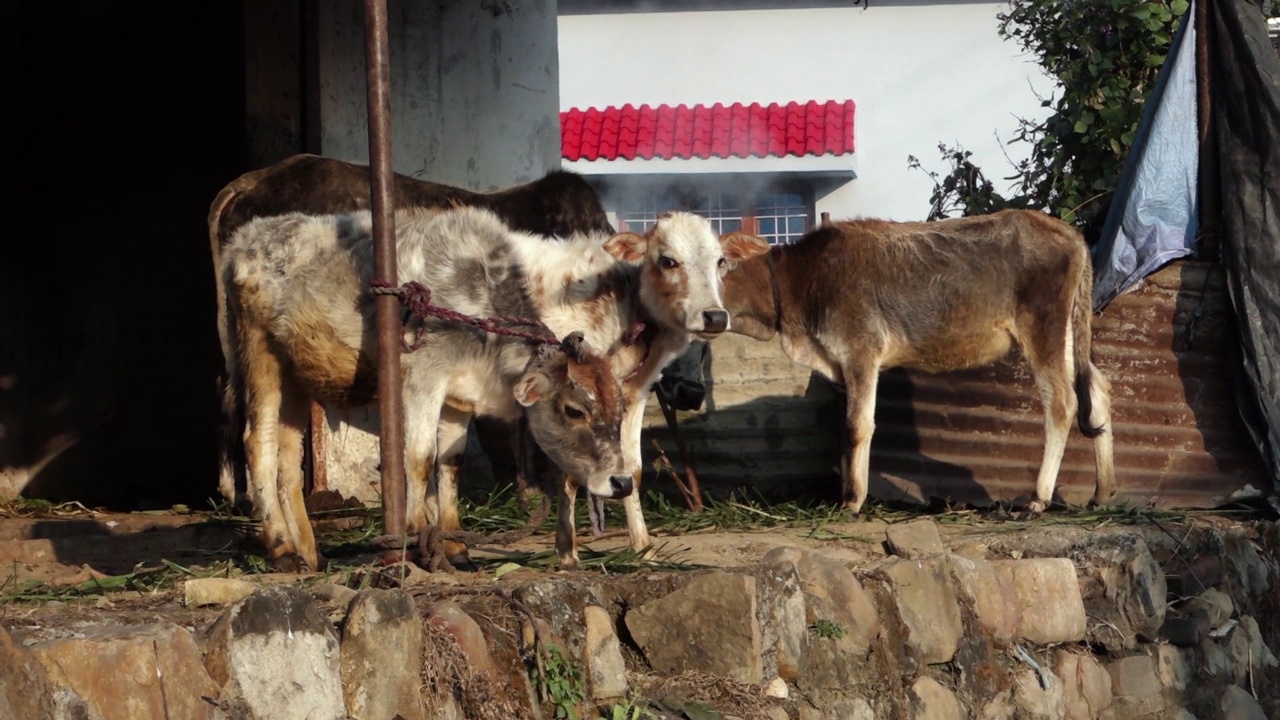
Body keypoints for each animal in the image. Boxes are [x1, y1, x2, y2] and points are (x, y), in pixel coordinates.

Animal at [727, 208, 1116, 515]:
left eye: (720, 263)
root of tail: (1067, 232)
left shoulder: (860, 351)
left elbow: (857, 426)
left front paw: (853, 500)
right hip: (1066, 336)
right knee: (1096, 391)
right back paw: (1102, 493)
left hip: (1041, 330)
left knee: (1062, 403)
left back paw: (1038, 498)